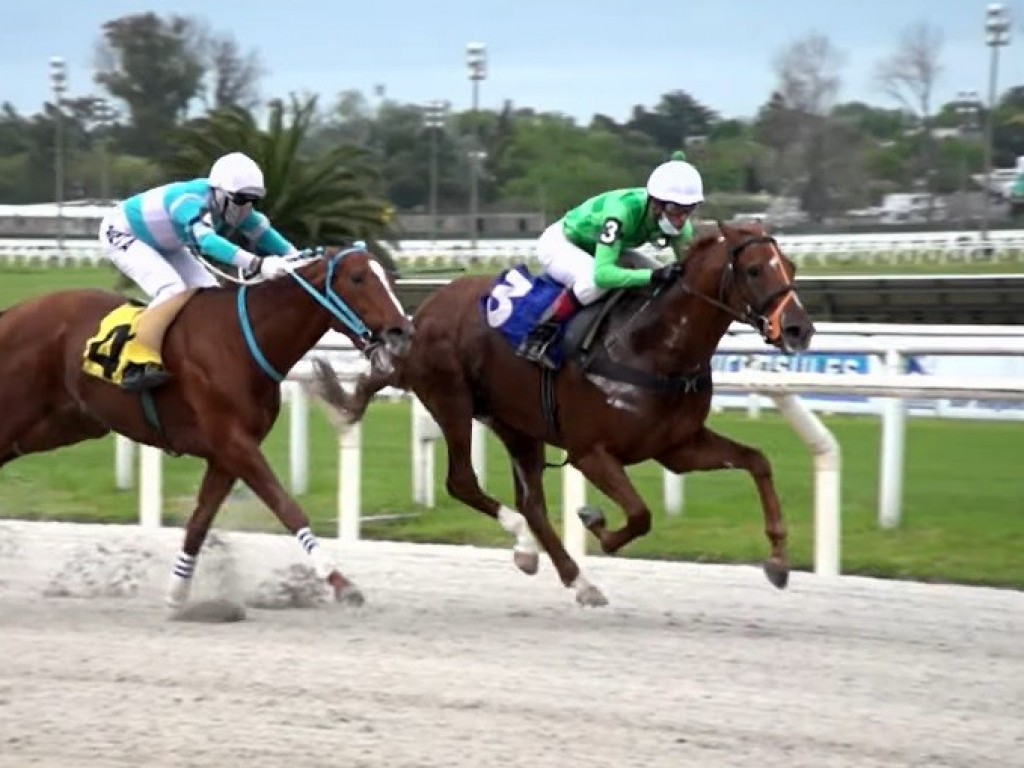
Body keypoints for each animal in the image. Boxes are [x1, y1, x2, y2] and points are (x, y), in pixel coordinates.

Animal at [2, 246, 415, 614]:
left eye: (388, 277)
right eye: (358, 278)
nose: (402, 332)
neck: (244, 340)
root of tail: (12, 314)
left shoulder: (225, 454)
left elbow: (200, 521)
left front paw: (178, 594)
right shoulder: (234, 442)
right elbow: (287, 507)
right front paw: (340, 583)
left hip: (61, 425)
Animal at [311, 222, 815, 606]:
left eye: (790, 267)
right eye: (754, 269)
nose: (799, 329)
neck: (652, 345)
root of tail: (418, 316)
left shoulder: (678, 446)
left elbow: (756, 461)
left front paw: (778, 559)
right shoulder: (591, 451)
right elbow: (639, 514)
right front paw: (596, 522)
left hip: (516, 424)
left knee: (530, 503)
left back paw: (572, 576)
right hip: (451, 400)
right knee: (463, 481)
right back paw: (534, 550)